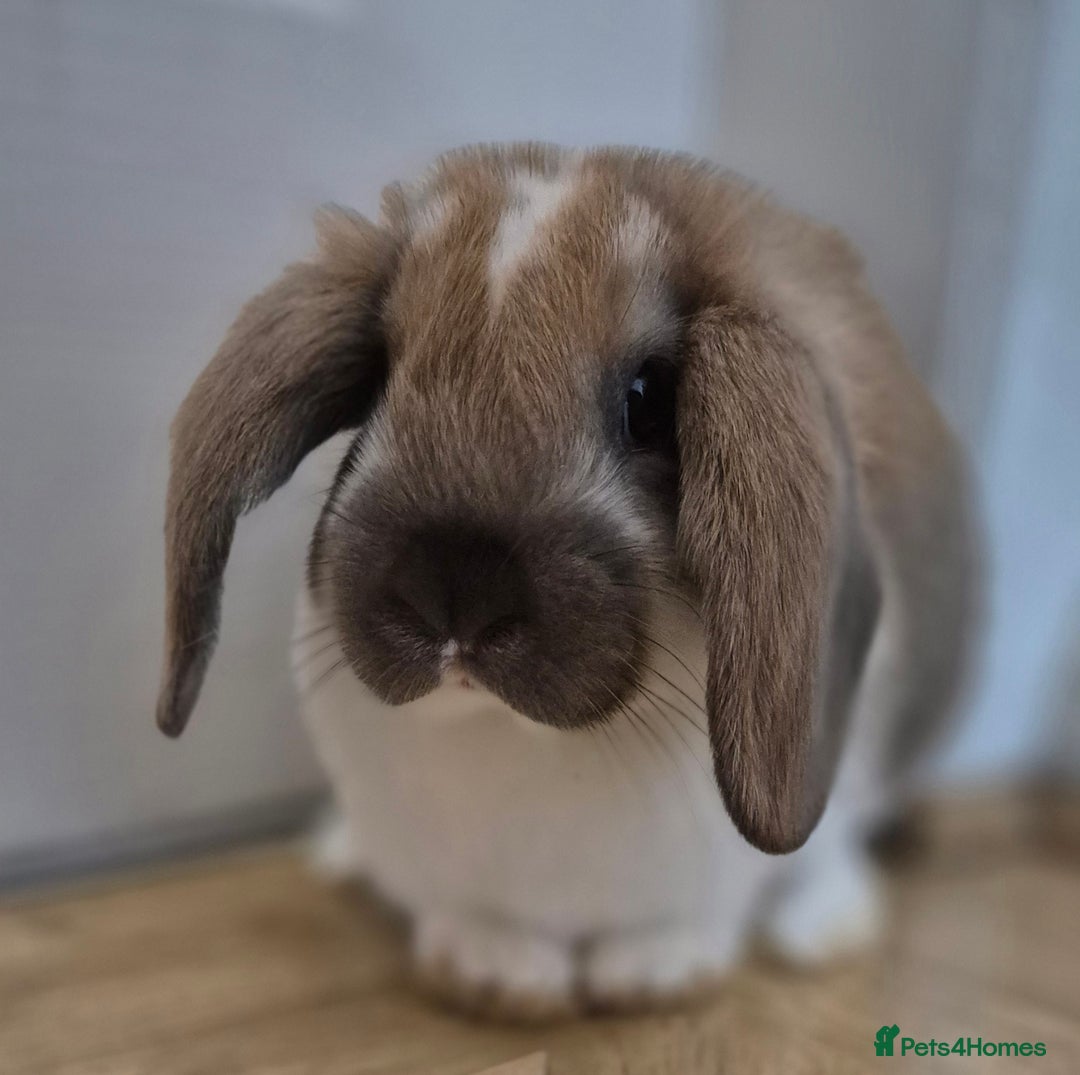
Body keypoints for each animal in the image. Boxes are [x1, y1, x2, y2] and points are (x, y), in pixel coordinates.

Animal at [155, 143, 978, 1017]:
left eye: (648, 401)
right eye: (376, 383)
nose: (454, 589)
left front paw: (655, 973)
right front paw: (494, 974)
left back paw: (825, 928)